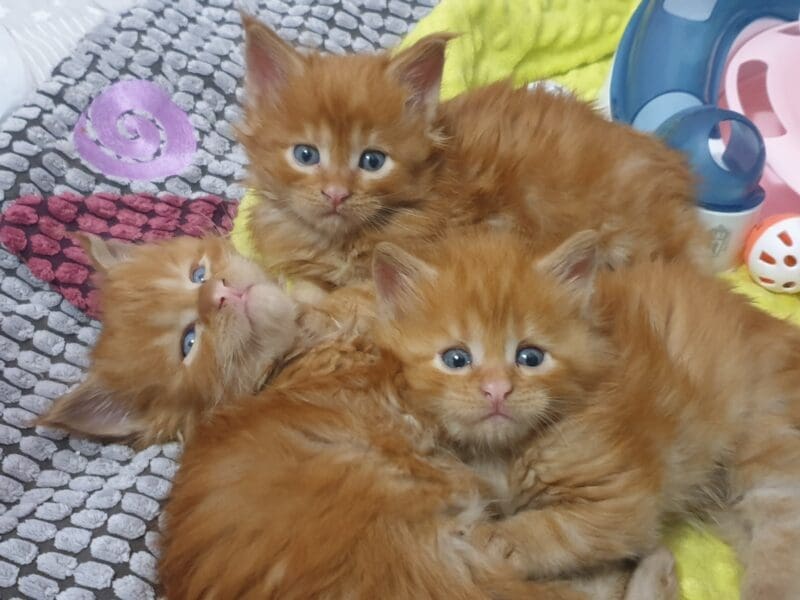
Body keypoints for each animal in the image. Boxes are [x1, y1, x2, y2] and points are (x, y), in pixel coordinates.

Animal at [372, 227, 800, 596]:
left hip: (766, 440)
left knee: (780, 530)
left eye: (530, 357)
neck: (503, 454)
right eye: (456, 359)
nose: (497, 390)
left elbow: (552, 528)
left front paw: (490, 539)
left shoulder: (620, 499)